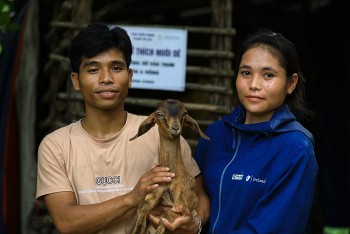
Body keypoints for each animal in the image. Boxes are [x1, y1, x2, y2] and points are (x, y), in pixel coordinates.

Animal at [130, 99, 209, 234]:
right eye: (159, 113)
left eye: (184, 113)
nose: (175, 128)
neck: (173, 176)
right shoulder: (156, 190)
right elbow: (143, 205)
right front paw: (138, 229)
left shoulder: (182, 203)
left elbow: (165, 216)